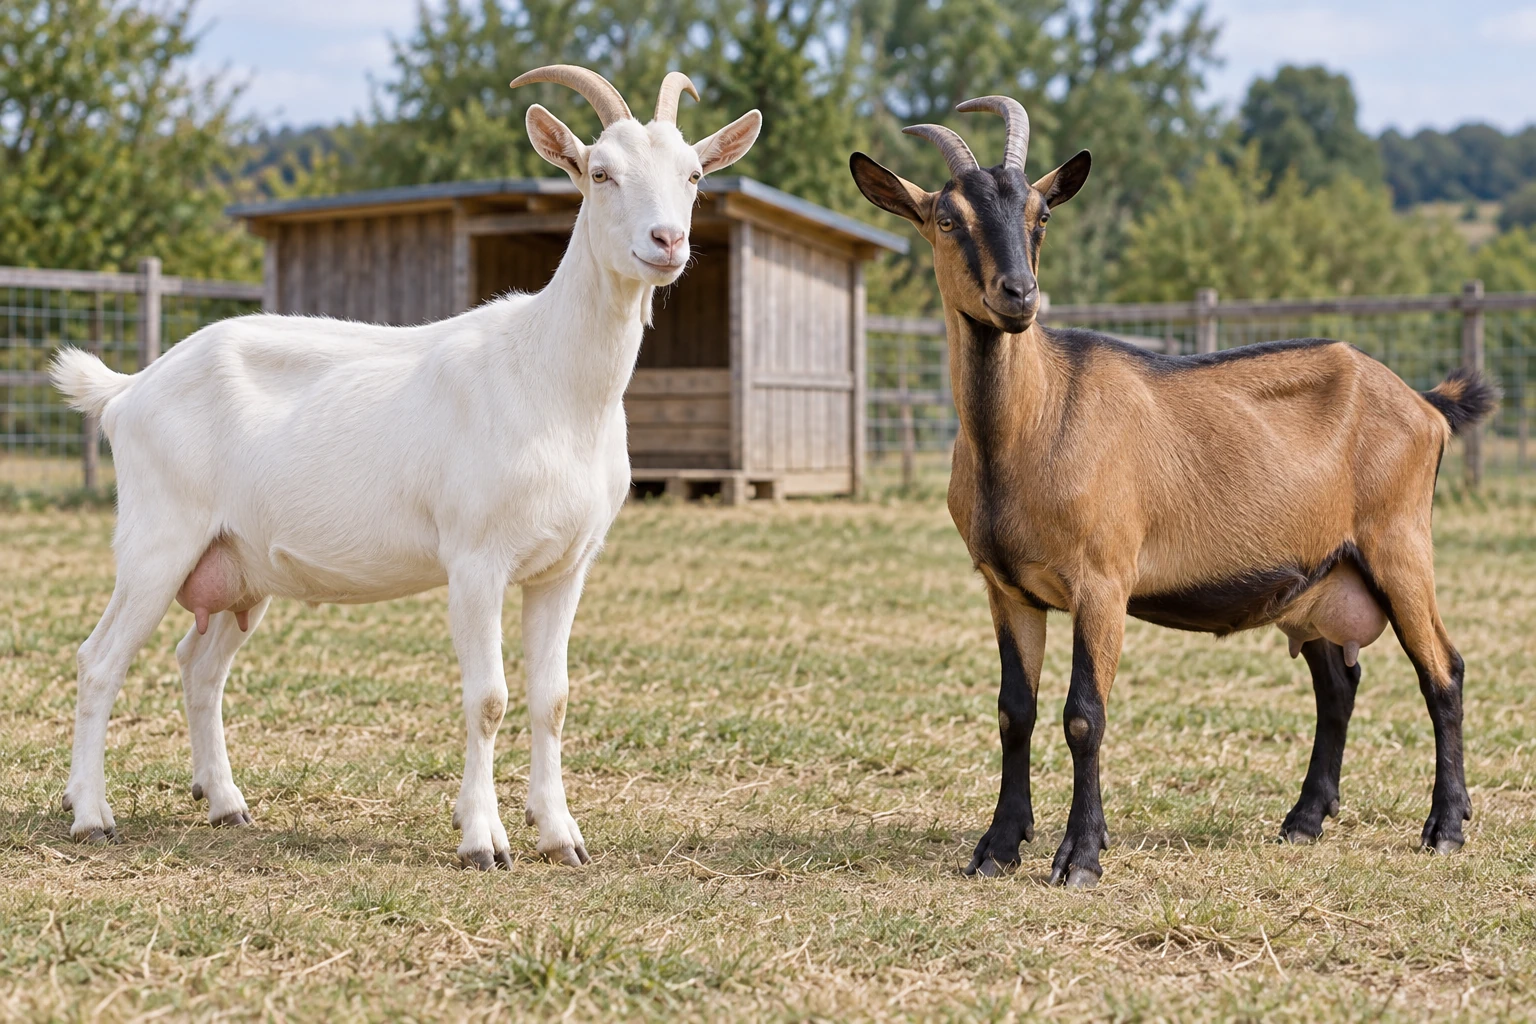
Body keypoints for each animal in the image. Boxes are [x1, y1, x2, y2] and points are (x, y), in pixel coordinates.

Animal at [50, 66, 760, 869]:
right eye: (600, 172)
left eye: (695, 175)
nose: (667, 240)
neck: (550, 379)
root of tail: (130, 390)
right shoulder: (476, 560)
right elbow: (489, 699)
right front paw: (483, 840)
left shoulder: (565, 566)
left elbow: (552, 699)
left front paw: (560, 835)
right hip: (157, 539)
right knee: (100, 660)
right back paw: (91, 814)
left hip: (239, 568)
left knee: (199, 667)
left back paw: (225, 803)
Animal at [850, 96, 1497, 887]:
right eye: (947, 218)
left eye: (1040, 214)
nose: (1018, 296)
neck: (1035, 422)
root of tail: (1426, 405)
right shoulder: (1005, 586)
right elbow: (1014, 711)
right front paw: (997, 848)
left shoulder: (1101, 578)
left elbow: (1083, 714)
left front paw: (1080, 857)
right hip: (1318, 576)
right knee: (1338, 687)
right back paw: (1303, 821)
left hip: (1399, 544)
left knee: (1444, 671)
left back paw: (1445, 827)